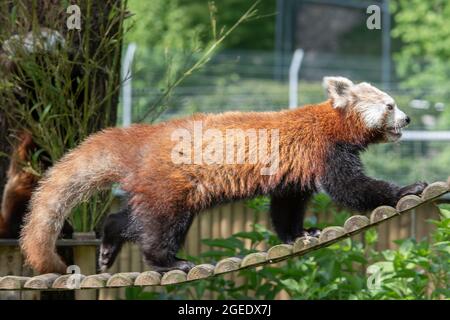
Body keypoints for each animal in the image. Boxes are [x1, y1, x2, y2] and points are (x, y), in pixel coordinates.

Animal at [20, 76, 426, 274]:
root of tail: (147, 136)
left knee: (132, 219)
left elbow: (287, 206)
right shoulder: (323, 150)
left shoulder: (293, 170)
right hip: (172, 183)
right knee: (159, 226)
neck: (332, 122)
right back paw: (168, 261)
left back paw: (108, 242)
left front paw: (299, 233)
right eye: (390, 105)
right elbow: (351, 187)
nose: (408, 119)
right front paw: (407, 188)